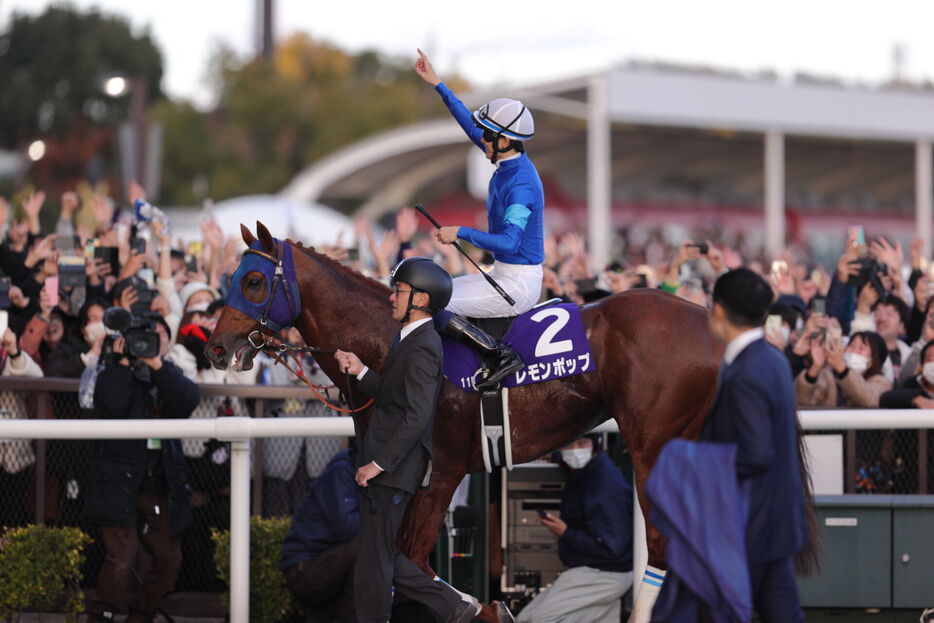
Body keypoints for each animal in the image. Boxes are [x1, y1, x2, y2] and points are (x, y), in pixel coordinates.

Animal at [207, 224, 724, 623]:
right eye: (235, 278)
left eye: (252, 281)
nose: (215, 348)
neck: (389, 337)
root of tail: (710, 322)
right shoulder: (402, 480)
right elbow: (397, 562)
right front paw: (485, 607)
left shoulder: (440, 473)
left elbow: (409, 558)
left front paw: (485, 608)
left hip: (652, 445)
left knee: (662, 546)